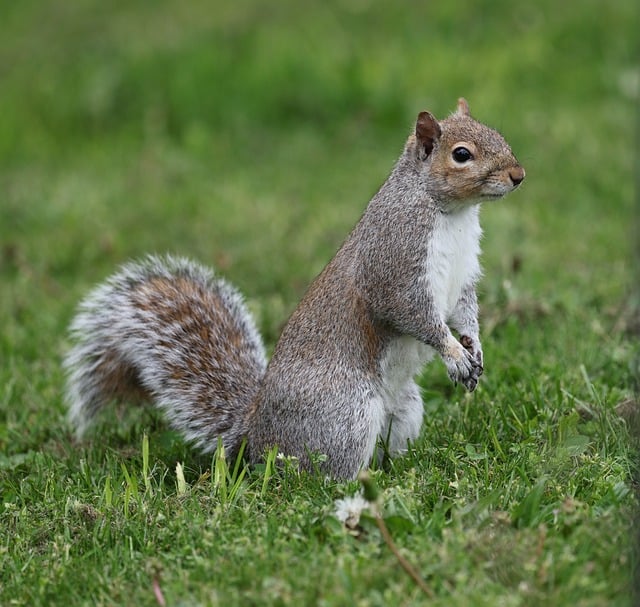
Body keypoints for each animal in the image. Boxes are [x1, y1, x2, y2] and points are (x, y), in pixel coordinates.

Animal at [65, 98, 525, 479]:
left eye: (497, 133)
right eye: (461, 154)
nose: (518, 175)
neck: (452, 214)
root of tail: (256, 434)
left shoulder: (463, 276)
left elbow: (465, 311)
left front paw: (474, 348)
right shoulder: (394, 265)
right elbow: (414, 314)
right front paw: (454, 355)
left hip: (404, 409)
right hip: (346, 415)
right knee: (320, 473)